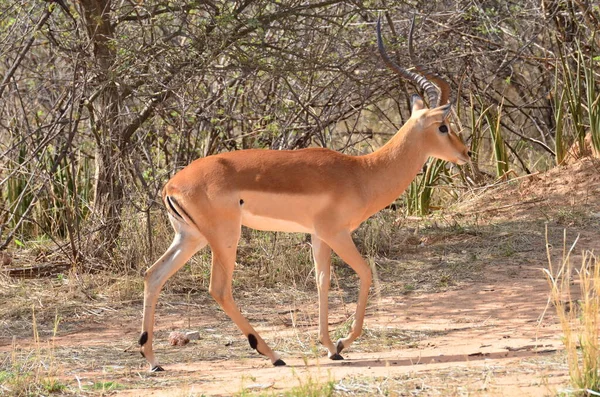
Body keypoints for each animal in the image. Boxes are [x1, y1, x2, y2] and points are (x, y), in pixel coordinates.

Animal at [138, 14, 472, 368]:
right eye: (443, 126)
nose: (465, 153)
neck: (361, 172)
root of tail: (171, 186)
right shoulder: (336, 232)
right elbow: (366, 273)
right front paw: (342, 342)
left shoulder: (318, 235)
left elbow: (322, 281)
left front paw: (330, 347)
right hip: (225, 237)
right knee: (219, 288)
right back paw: (272, 355)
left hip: (191, 237)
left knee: (153, 275)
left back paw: (152, 359)